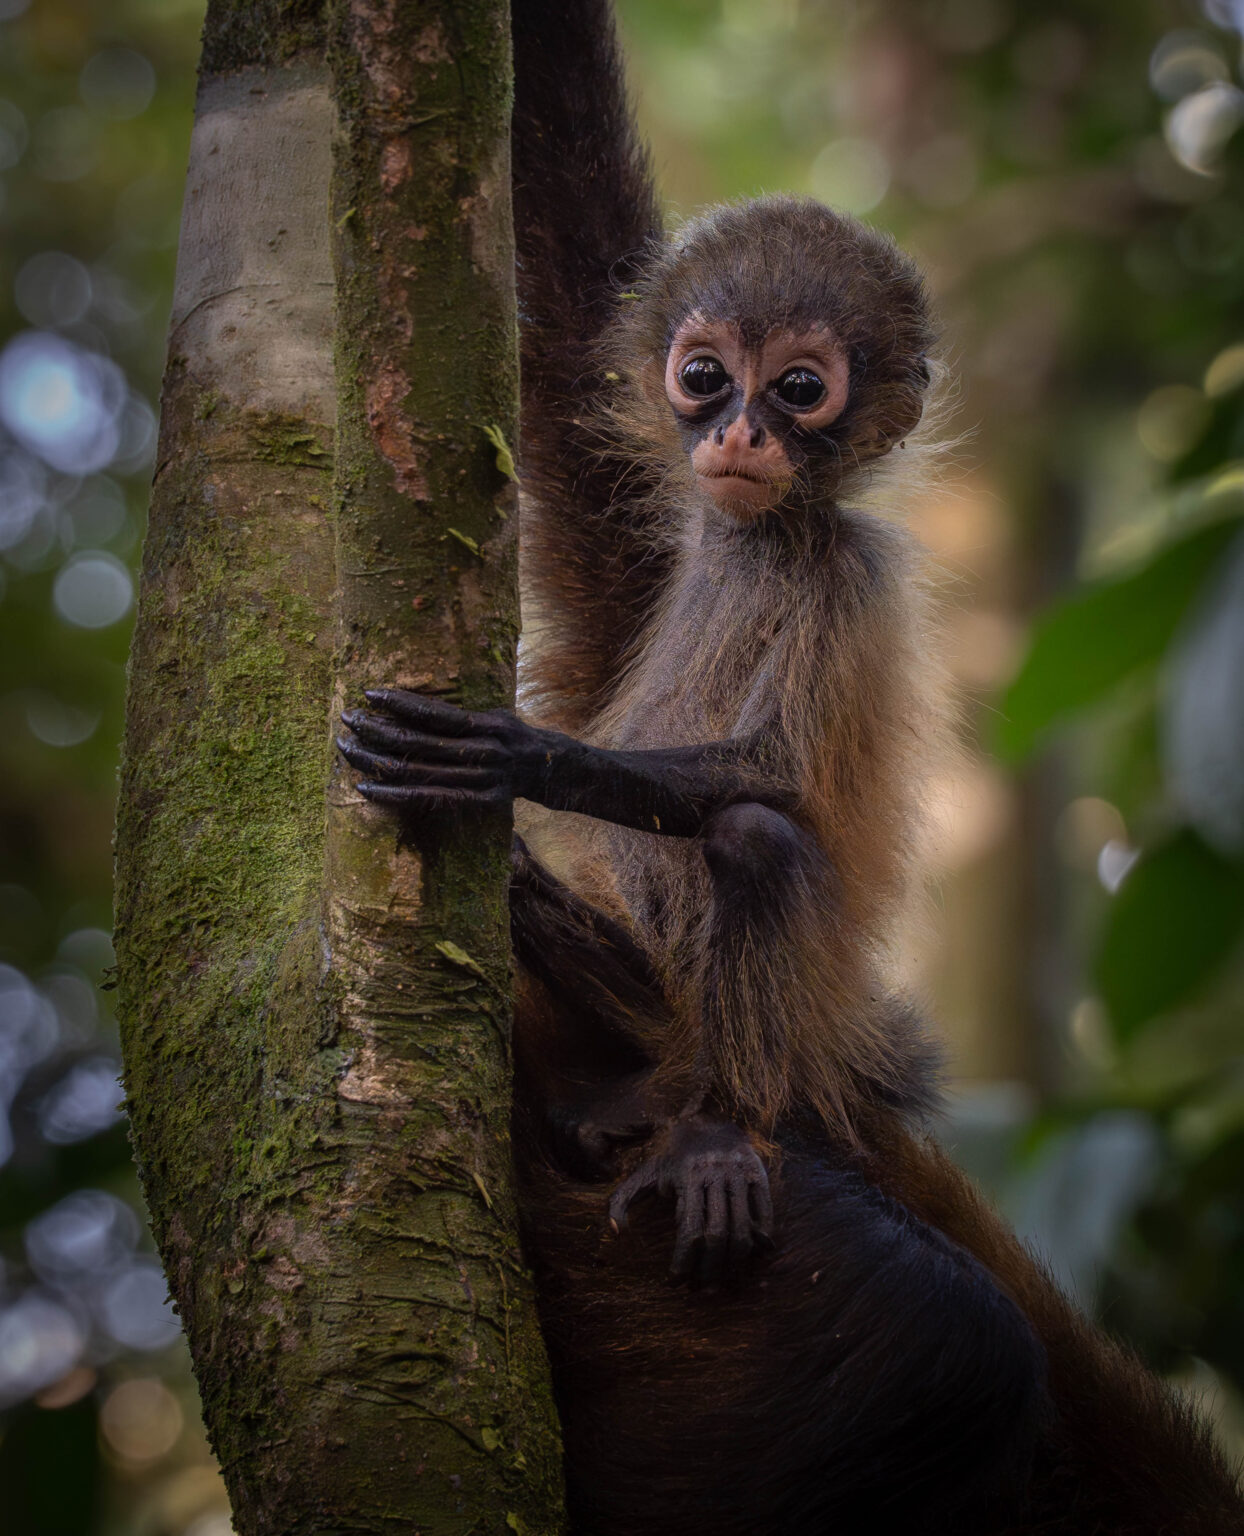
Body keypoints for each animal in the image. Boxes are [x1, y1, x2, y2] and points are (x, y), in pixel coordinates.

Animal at [336, 1, 1244, 1530]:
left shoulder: (841, 565)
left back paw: (700, 1129)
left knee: (754, 846)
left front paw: (512, 757)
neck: (757, 536)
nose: (744, 432)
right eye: (706, 375)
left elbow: (762, 780)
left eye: (802, 388)